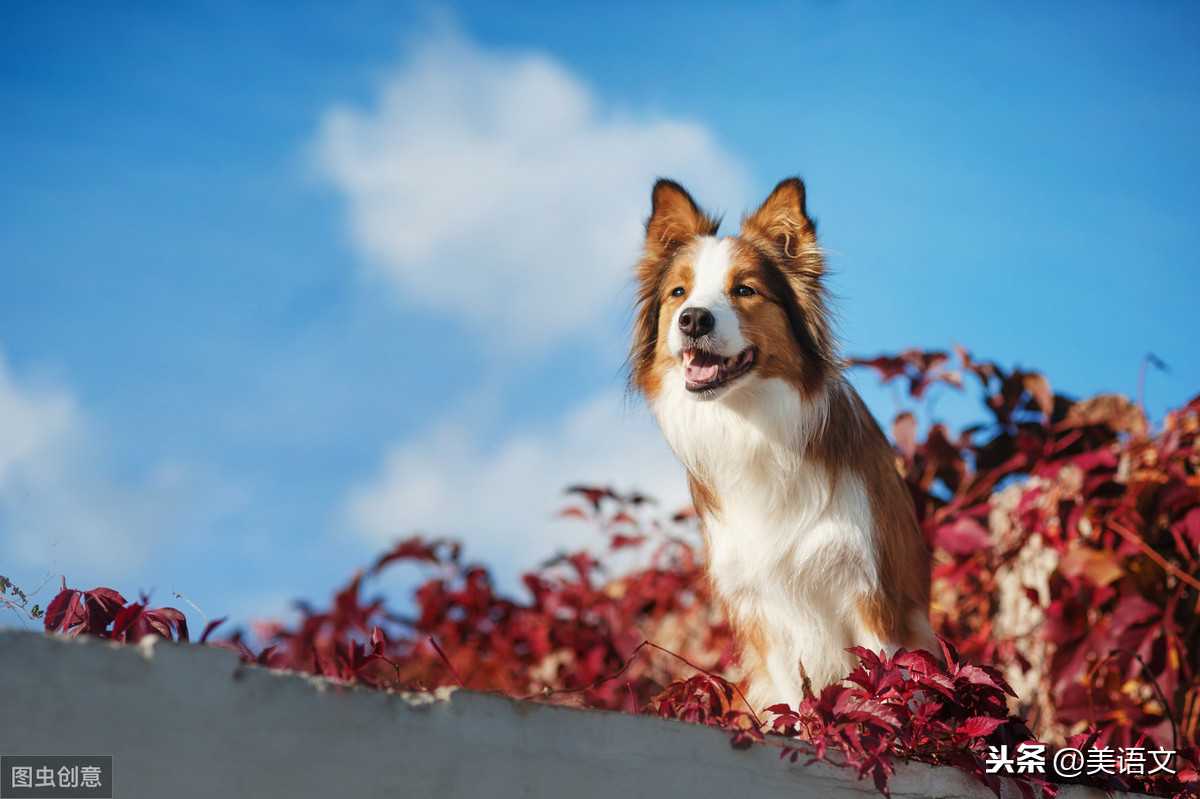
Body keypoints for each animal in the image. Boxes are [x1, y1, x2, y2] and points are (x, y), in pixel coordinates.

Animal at [624, 177, 940, 705]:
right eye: (678, 292)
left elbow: (884, 689)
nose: (693, 319)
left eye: (745, 290)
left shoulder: (874, 591)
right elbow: (795, 700)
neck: (752, 425)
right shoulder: (761, 613)